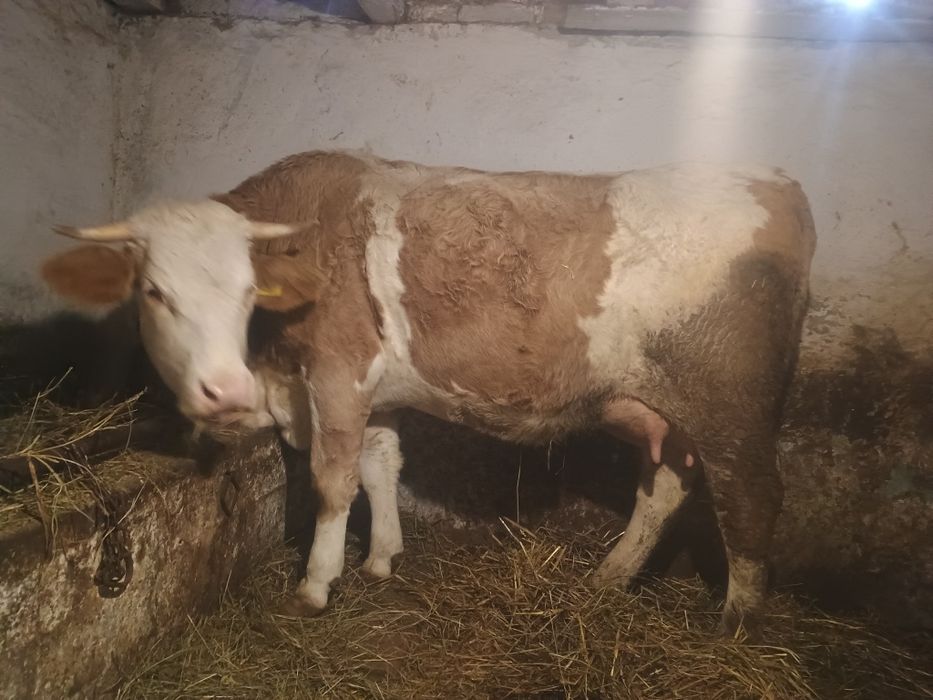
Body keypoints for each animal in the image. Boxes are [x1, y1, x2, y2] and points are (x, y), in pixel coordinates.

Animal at [41, 150, 816, 636]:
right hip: (660, 408)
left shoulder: (338, 374)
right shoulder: (375, 391)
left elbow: (333, 480)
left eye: (245, 291)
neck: (272, 374)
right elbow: (382, 465)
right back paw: (610, 576)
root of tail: (775, 181)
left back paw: (736, 622)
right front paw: (382, 557)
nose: (222, 390)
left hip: (732, 407)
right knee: (665, 488)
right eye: (153, 291)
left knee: (752, 499)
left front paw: (316, 584)